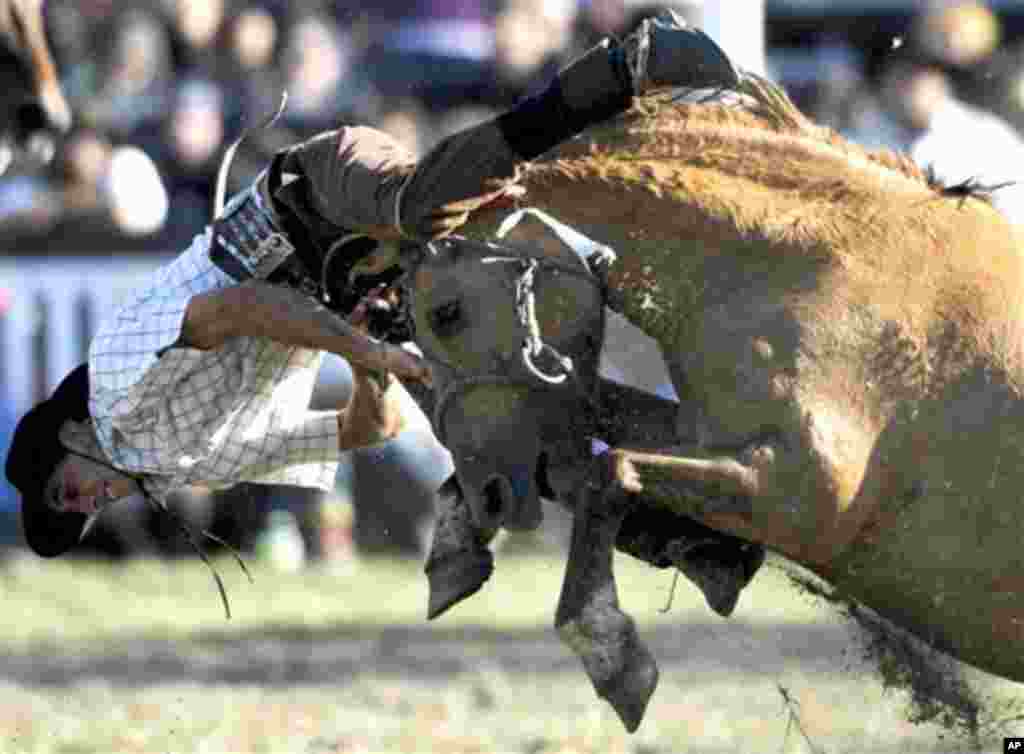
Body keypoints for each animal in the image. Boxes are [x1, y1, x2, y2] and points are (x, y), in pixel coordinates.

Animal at [399, 79, 1024, 733]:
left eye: (446, 313)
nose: (491, 494)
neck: (806, 264)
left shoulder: (799, 493)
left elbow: (606, 469)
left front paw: (608, 647)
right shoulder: (701, 432)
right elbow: (589, 447)